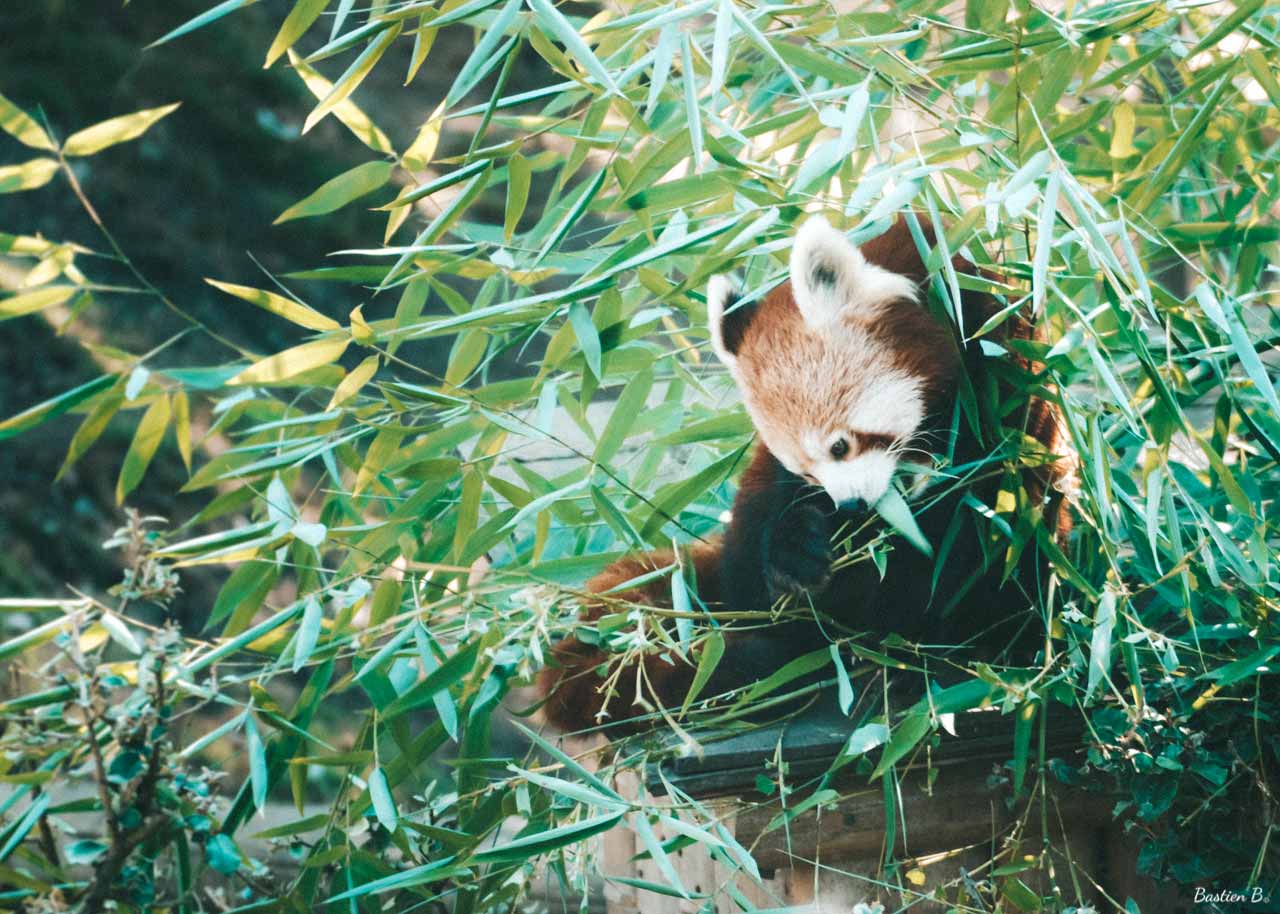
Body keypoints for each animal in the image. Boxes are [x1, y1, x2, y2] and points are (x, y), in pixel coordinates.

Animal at [538, 214, 1075, 736]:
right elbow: (788, 535)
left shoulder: (1007, 370)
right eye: (806, 471)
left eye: (840, 446)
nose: (853, 505)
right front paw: (803, 553)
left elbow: (986, 522)